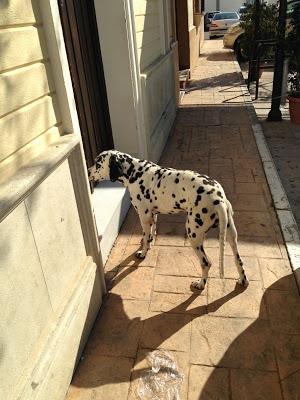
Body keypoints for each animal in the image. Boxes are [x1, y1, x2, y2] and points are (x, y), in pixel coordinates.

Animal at [89, 150, 248, 290]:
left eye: (98, 163)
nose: (88, 172)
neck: (135, 172)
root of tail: (218, 199)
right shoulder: (152, 215)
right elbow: (150, 234)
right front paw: (149, 244)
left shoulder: (143, 216)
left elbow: (145, 237)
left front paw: (143, 253)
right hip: (231, 235)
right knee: (238, 260)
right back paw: (243, 280)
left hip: (194, 235)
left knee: (206, 263)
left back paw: (200, 284)